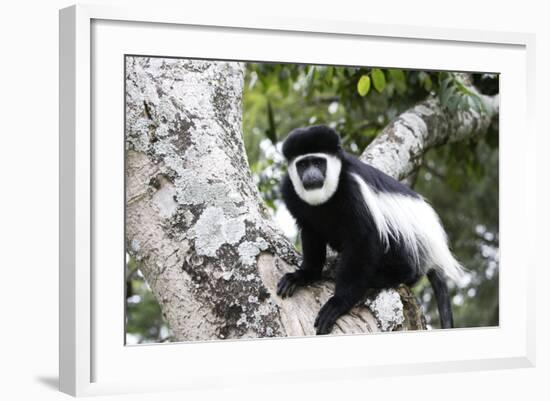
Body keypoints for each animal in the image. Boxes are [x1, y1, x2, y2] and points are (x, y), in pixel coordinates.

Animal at [276, 125, 466, 334]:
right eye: (302, 165)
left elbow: (362, 240)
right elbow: (311, 233)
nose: (311, 176)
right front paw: (302, 276)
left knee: (403, 259)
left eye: (318, 162)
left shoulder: (353, 191)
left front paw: (338, 303)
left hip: (409, 239)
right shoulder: (291, 193)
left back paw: (382, 278)